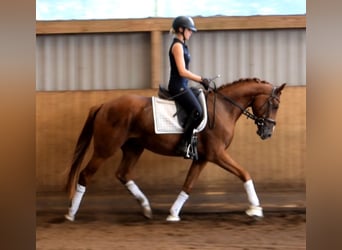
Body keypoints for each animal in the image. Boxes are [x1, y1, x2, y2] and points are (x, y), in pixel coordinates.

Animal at [64, 77, 286, 222]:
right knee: (85, 175)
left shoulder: (202, 158)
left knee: (123, 174)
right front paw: (255, 209)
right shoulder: (217, 154)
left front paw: (173, 214)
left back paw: (146, 207)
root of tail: (103, 105)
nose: (268, 132)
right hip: (106, 149)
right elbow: (244, 173)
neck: (224, 108)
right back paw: (71, 213)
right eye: (274, 104)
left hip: (134, 147)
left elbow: (188, 184)